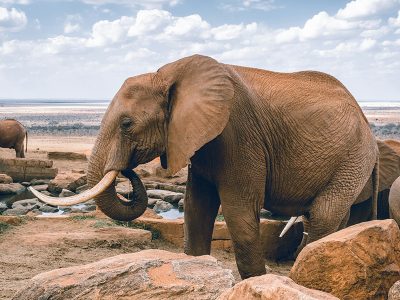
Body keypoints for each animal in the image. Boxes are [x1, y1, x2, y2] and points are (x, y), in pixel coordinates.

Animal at [30, 55, 378, 280]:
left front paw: (255, 282)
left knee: (322, 214)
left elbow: (238, 210)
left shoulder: (238, 133)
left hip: (353, 156)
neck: (168, 75)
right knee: (337, 216)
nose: (127, 171)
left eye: (127, 124)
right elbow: (196, 206)